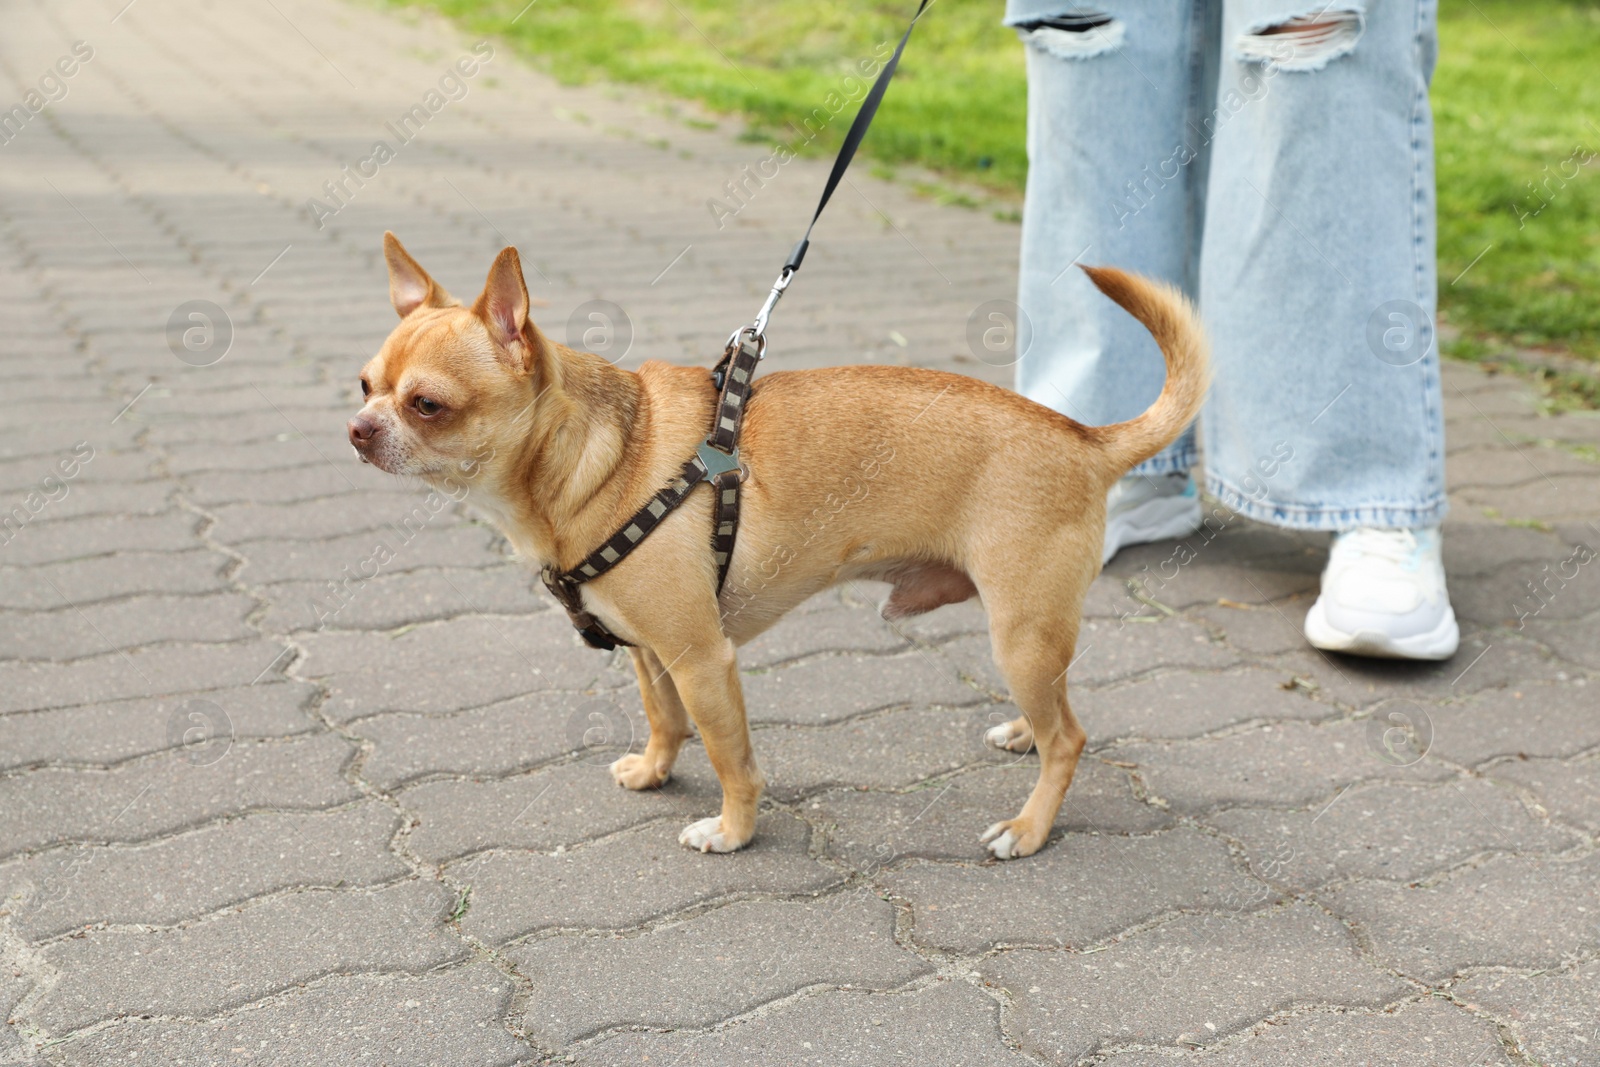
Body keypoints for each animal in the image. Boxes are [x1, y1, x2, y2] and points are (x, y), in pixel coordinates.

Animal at [347, 233, 1203, 857]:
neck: (605, 455)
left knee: (1072, 737)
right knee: (1057, 710)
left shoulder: (703, 659)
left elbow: (732, 757)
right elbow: (665, 720)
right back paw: (1023, 734)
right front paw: (656, 771)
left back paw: (1028, 827)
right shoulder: (652, 655)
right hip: (1031, 639)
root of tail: (1086, 438)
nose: (357, 429)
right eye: (364, 385)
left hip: (1018, 630)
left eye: (427, 405)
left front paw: (732, 831)